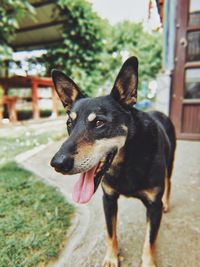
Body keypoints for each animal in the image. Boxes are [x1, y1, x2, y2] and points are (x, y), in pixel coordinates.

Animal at [50, 57, 176, 267]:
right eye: (69, 123)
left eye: (99, 123)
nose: (57, 163)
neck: (126, 164)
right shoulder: (108, 200)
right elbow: (111, 233)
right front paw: (111, 257)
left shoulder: (154, 206)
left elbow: (149, 241)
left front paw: (148, 261)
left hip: (170, 163)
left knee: (169, 182)